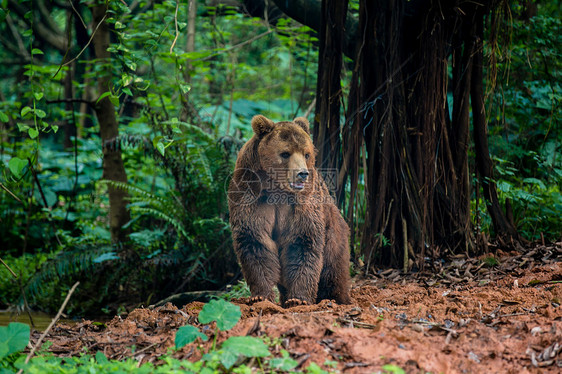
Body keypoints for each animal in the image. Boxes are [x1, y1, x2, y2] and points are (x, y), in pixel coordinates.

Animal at [225, 114, 348, 306]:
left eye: (306, 153)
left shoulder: (303, 203)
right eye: (285, 153)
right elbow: (255, 240)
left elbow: (303, 241)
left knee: (332, 271)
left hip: (334, 235)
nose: (302, 174)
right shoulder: (250, 195)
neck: (276, 188)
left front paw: (298, 299)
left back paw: (334, 298)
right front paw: (260, 295)